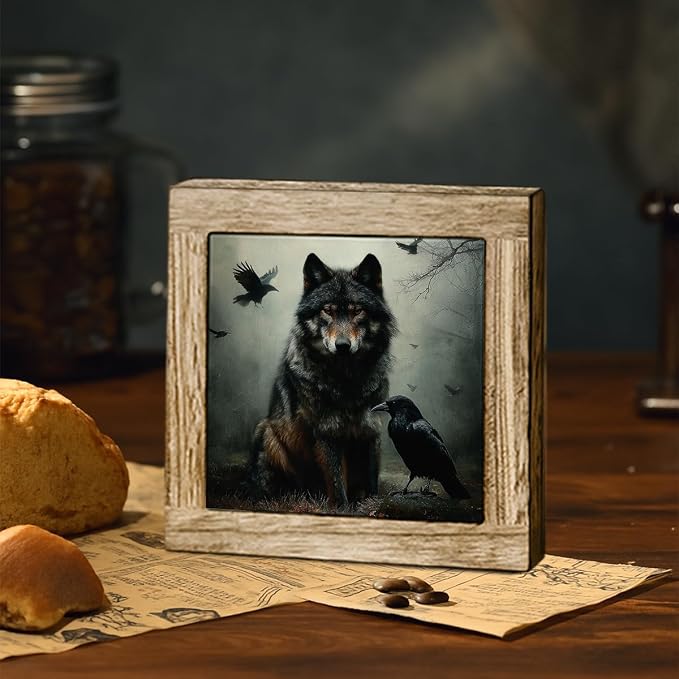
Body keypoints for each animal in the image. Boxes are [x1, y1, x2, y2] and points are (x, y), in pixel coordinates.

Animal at [250, 252, 396, 507]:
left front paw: (370, 504)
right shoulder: (327, 432)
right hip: (267, 432)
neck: (347, 381)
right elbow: (337, 485)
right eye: (327, 310)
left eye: (357, 311)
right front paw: (342, 509)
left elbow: (371, 483)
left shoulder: (371, 429)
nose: (343, 346)